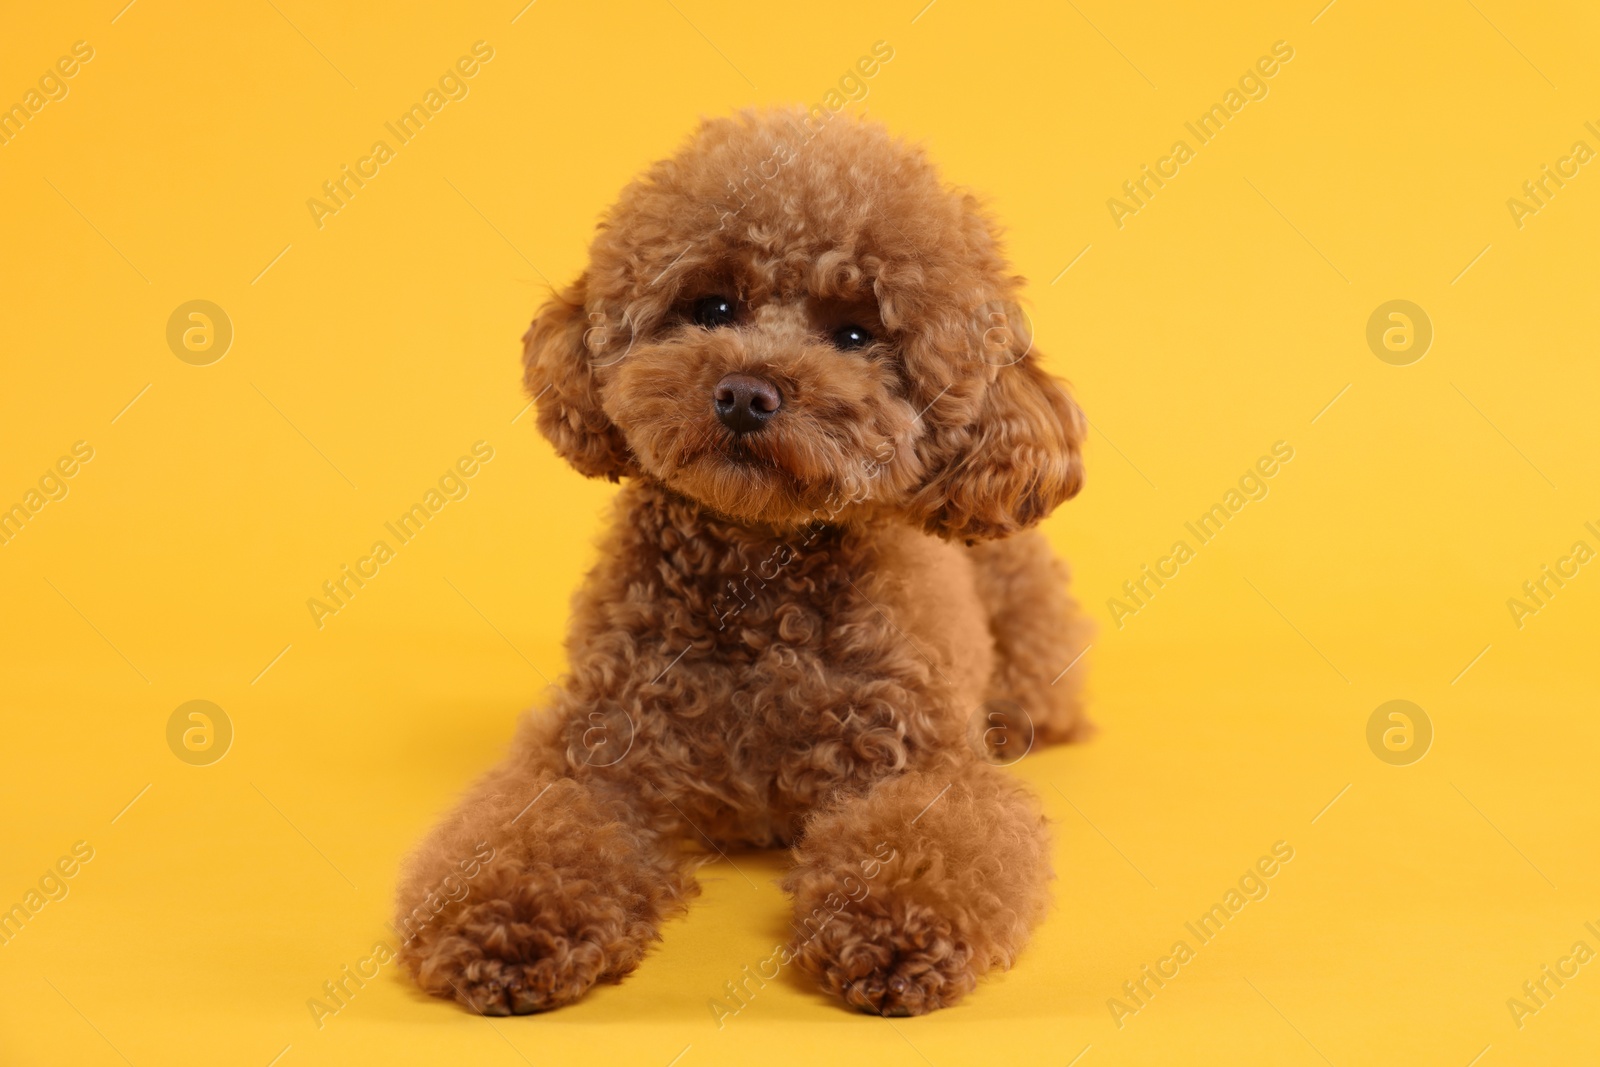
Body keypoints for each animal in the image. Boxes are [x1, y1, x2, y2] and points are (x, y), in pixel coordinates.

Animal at [398, 106, 1094, 1017]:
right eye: (713, 305)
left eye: (857, 333)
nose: (745, 392)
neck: (757, 584)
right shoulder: (591, 751)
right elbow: (530, 829)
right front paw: (505, 923)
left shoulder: (920, 762)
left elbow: (931, 839)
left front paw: (894, 930)